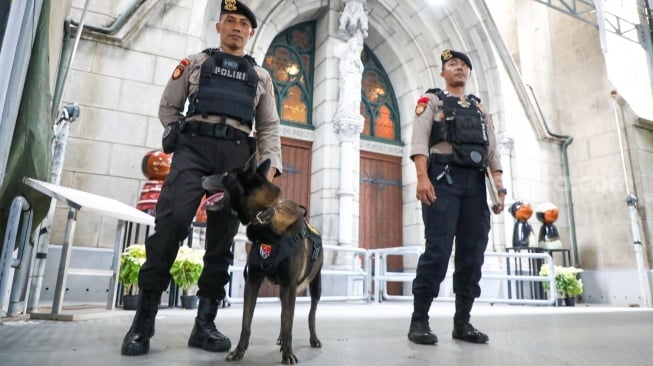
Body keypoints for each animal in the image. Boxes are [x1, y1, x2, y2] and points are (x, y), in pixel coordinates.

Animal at [199, 158, 320, 366]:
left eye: (226, 175)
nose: (202, 177)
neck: (265, 217)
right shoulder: (253, 282)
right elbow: (247, 321)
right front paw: (239, 351)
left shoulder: (289, 286)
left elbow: (289, 323)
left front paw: (288, 353)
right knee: (283, 313)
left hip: (314, 287)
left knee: (310, 315)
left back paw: (312, 338)